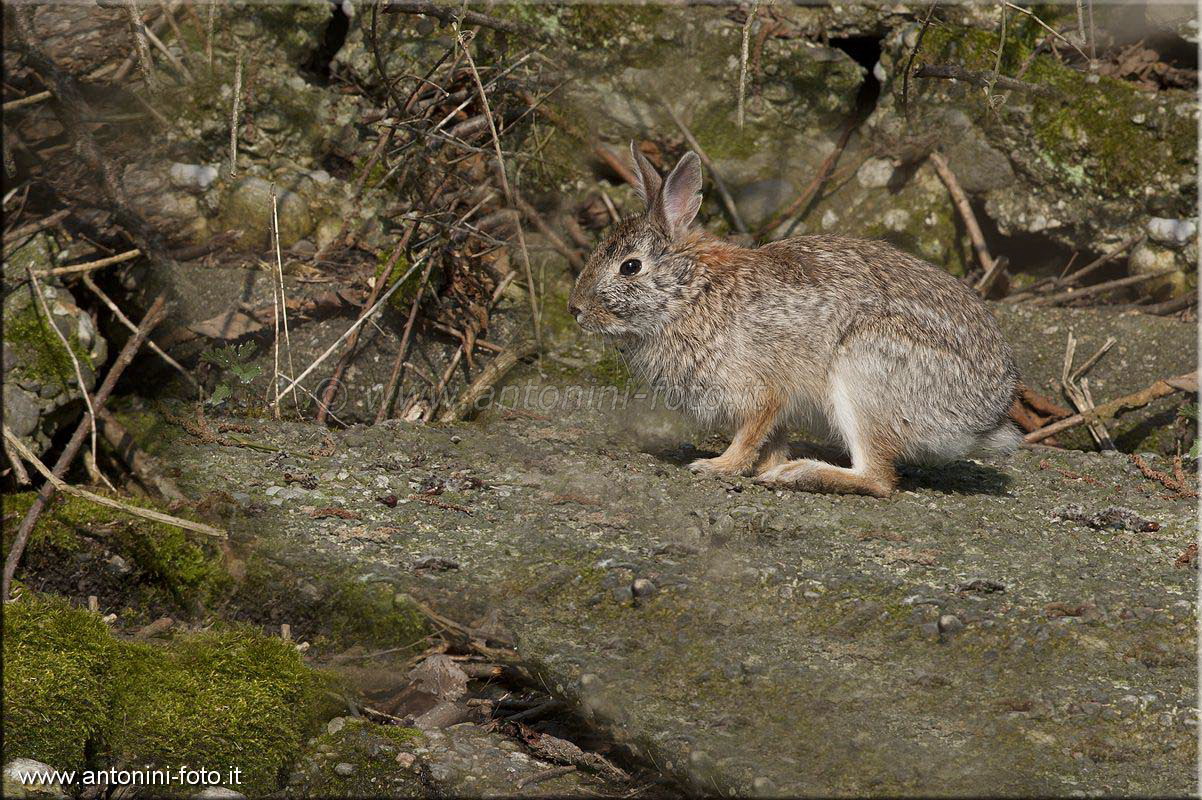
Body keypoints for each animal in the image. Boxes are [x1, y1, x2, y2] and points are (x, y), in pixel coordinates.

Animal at [567, 142, 1019, 492]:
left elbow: (751, 434)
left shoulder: (762, 388)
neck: (691, 292)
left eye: (630, 267)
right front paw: (764, 465)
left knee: (878, 478)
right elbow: (771, 440)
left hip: (864, 373)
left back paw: (798, 474)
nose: (575, 309)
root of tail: (986, 417)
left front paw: (717, 466)